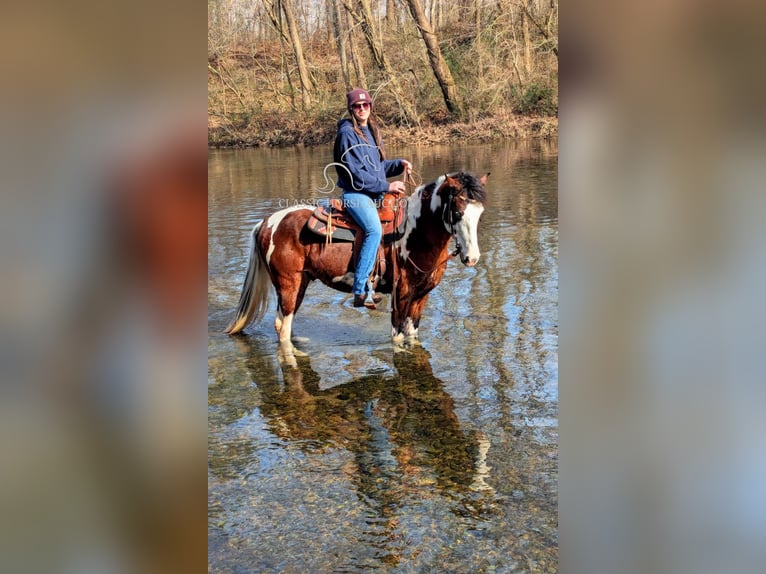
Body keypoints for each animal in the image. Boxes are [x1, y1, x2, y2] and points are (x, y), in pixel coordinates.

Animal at [225, 172, 488, 360]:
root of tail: (267, 222)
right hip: (287, 284)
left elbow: (412, 336)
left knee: (284, 323)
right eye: (457, 211)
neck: (414, 234)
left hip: (300, 283)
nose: (472, 258)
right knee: (282, 326)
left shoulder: (421, 296)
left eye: (479, 213)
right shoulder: (401, 295)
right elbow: (397, 338)